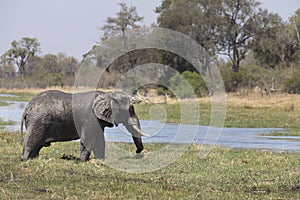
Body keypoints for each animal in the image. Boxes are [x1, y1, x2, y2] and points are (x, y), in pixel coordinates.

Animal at [19, 90, 149, 161]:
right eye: (130, 110)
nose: (137, 152)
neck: (107, 95)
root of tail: (27, 107)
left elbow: (99, 139)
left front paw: (101, 160)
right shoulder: (90, 118)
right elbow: (88, 138)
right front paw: (82, 161)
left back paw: (33, 159)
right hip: (38, 121)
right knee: (32, 141)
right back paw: (26, 159)